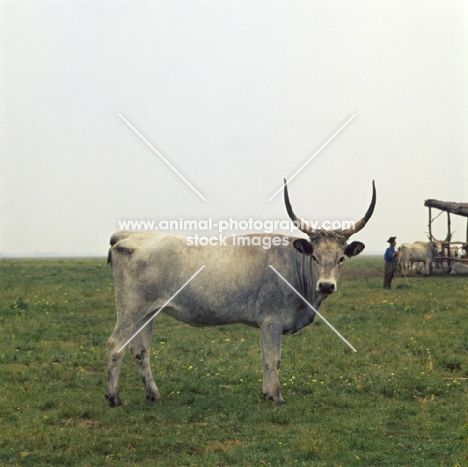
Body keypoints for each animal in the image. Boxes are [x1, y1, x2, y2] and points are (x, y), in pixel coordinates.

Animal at [105, 179, 376, 406]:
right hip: (130, 310)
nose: (326, 286)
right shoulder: (272, 320)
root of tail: (128, 236)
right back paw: (113, 397)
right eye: (314, 256)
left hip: (147, 314)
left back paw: (153, 394)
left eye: (341, 258)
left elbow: (267, 358)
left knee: (140, 351)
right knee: (116, 345)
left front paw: (266, 393)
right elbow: (272, 358)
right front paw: (275, 396)